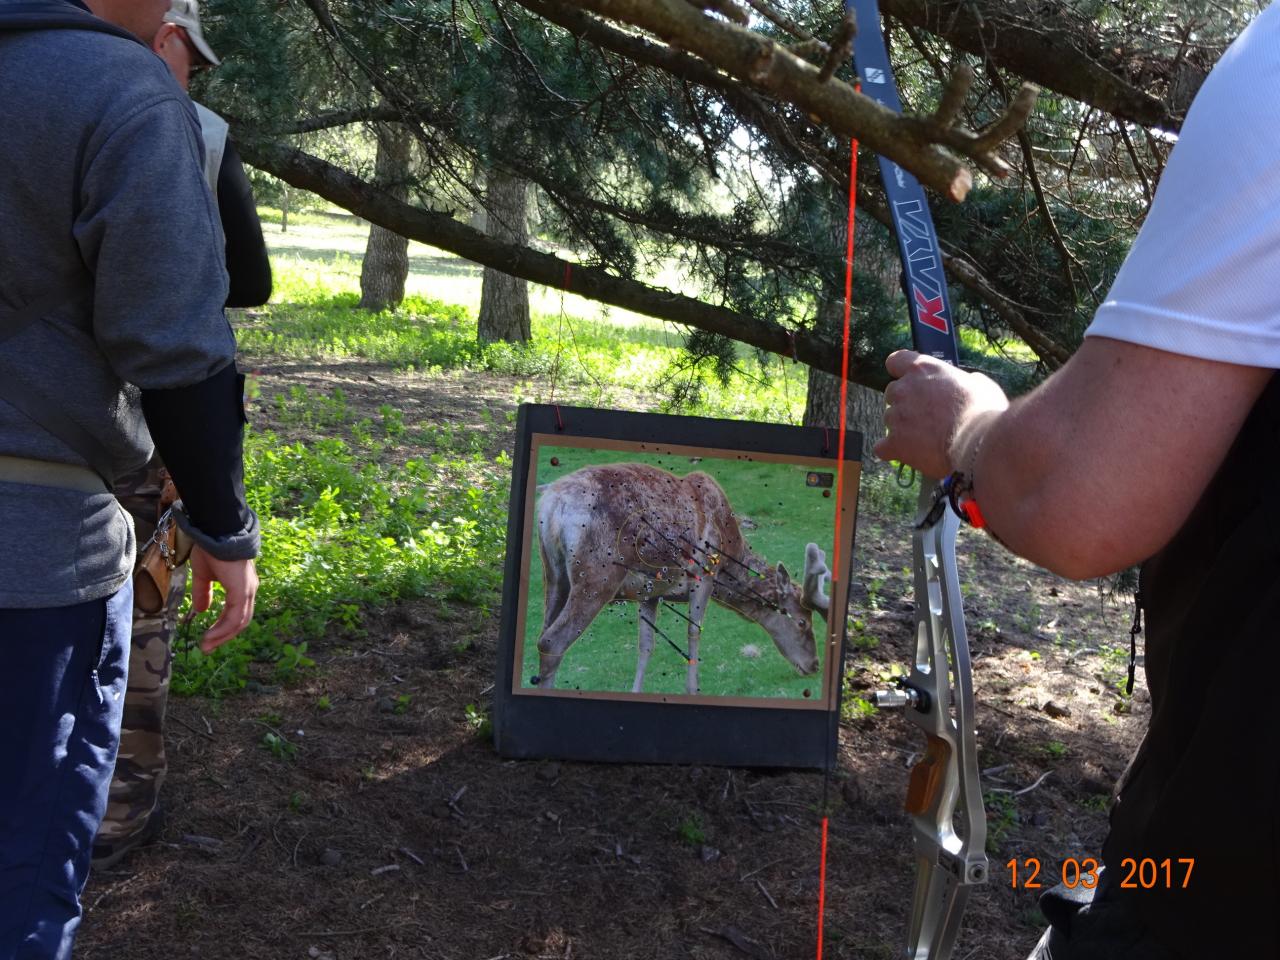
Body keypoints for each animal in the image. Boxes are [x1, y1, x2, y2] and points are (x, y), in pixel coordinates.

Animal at [531, 463, 832, 695]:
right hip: (598, 574)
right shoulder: (703, 575)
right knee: (552, 640)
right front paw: (693, 690)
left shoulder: (650, 593)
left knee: (542, 633)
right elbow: (693, 632)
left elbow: (646, 647)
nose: (815, 665)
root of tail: (551, 502)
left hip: (554, 574)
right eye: (803, 622)